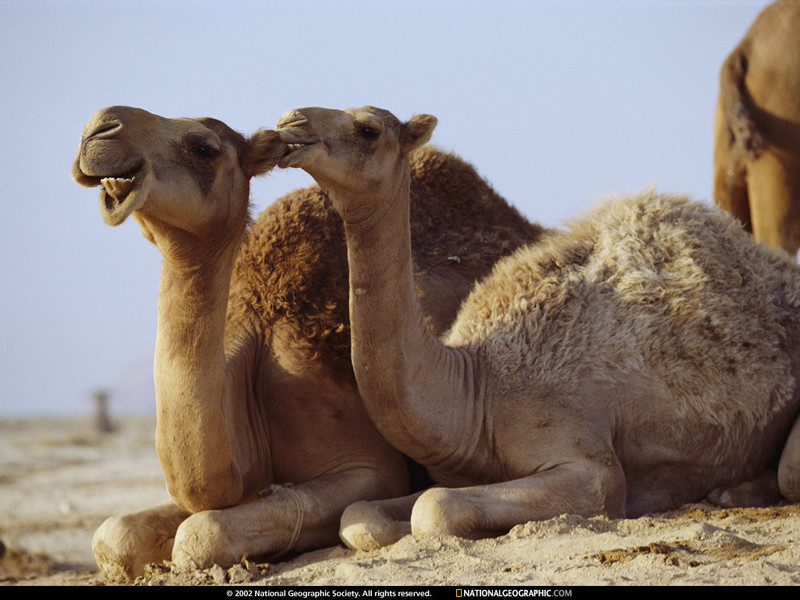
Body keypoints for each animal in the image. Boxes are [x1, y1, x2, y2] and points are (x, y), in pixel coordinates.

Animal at [278, 105, 800, 552]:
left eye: (368, 129)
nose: (290, 122)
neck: (477, 387)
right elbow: (358, 514)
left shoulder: (588, 461)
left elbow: (434, 507)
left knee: (790, 472)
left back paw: (732, 494)